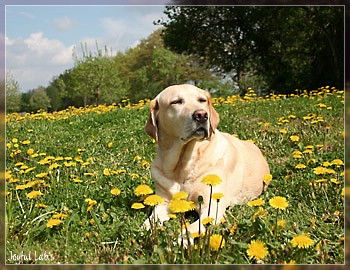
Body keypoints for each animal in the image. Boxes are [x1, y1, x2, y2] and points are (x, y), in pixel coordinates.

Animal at [144, 83, 270, 235]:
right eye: (176, 102)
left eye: (202, 100)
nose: (202, 115)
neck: (183, 165)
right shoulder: (162, 204)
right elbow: (147, 224)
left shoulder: (212, 206)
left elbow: (190, 229)